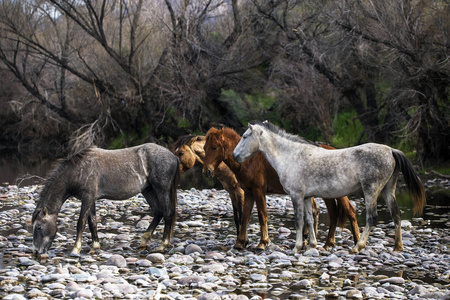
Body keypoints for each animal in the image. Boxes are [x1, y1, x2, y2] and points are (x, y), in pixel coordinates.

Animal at [32, 144, 179, 255]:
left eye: (38, 227)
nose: (37, 251)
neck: (78, 171)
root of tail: (174, 156)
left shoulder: (87, 198)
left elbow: (81, 223)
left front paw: (75, 249)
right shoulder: (91, 199)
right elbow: (92, 222)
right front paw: (95, 246)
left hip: (161, 189)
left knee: (167, 213)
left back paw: (162, 245)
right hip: (148, 190)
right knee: (158, 212)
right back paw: (144, 241)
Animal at [202, 126, 360, 251]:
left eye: (215, 147)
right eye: (204, 148)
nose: (207, 171)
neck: (249, 160)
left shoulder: (258, 191)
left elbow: (262, 215)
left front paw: (263, 243)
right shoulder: (248, 193)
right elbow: (245, 216)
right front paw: (240, 243)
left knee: (349, 211)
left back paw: (356, 242)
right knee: (332, 214)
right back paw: (326, 243)